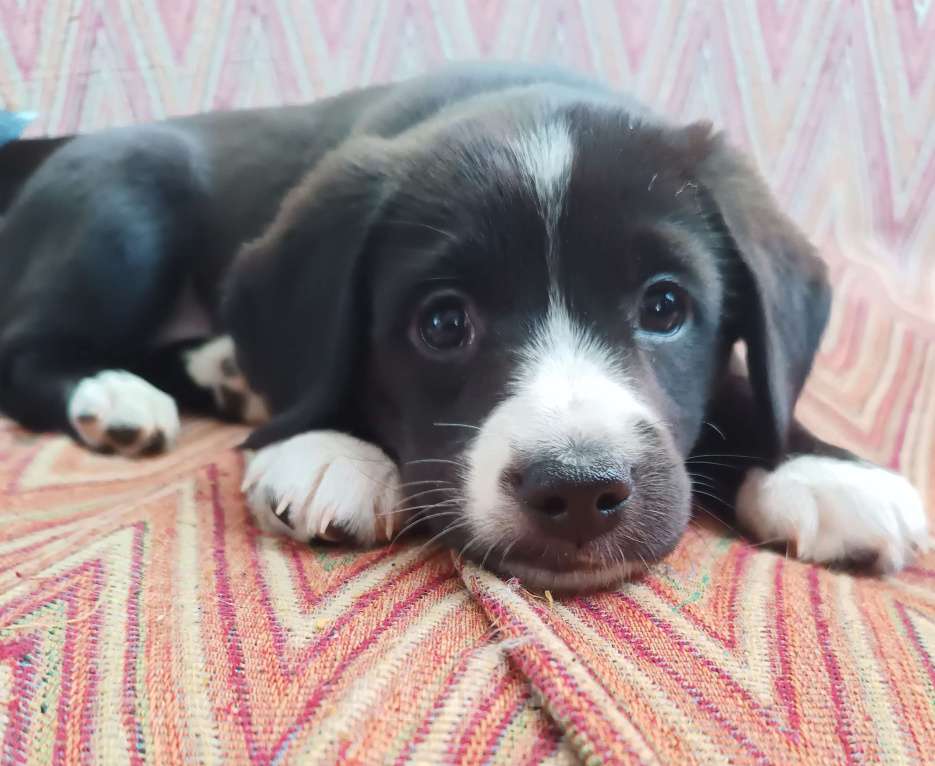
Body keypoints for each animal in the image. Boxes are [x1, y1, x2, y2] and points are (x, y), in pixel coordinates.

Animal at [0, 66, 924, 592]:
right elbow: (322, 378)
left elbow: (747, 384)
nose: (578, 491)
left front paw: (820, 468)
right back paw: (117, 398)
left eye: (664, 308)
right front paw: (327, 445)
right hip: (123, 210)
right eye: (443, 323)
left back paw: (221, 372)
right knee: (26, 347)